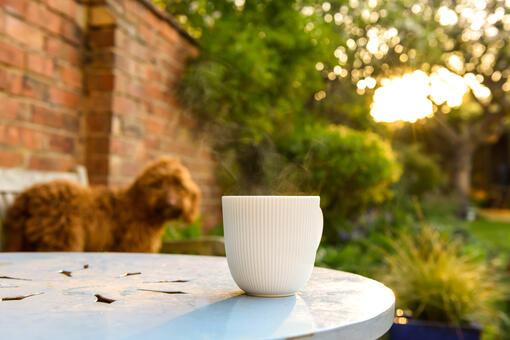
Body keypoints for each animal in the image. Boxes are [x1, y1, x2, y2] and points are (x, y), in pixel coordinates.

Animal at [2, 157, 201, 252]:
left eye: (179, 186)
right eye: (157, 185)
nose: (170, 203)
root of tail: (28, 193)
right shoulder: (133, 247)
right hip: (61, 238)